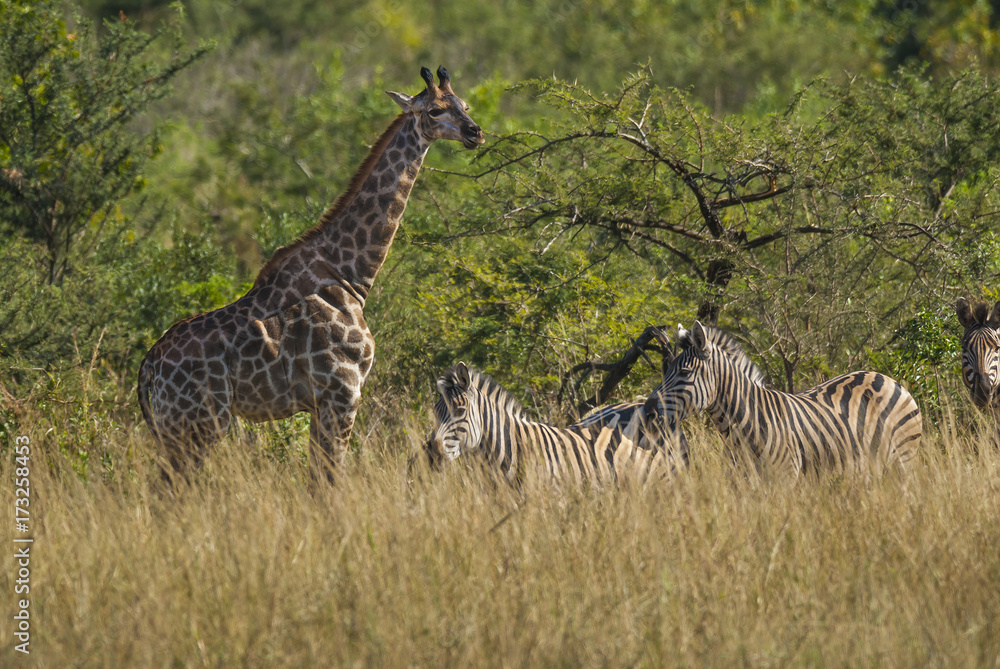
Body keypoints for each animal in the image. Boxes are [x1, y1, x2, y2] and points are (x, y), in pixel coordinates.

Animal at [138, 66, 484, 483]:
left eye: (464, 105)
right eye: (434, 111)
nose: (475, 133)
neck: (349, 273)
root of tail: (148, 367)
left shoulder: (322, 403)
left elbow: (319, 477)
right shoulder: (344, 393)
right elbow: (332, 477)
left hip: (179, 426)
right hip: (199, 422)